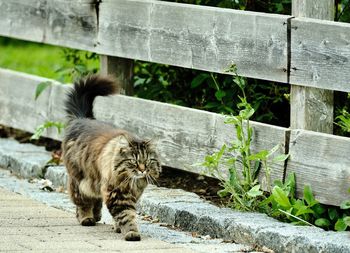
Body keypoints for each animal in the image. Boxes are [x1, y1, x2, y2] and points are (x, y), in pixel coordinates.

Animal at [61, 74, 161, 240]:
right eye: (134, 161)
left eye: (147, 161)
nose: (142, 170)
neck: (133, 183)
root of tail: (81, 119)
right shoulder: (117, 194)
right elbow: (127, 215)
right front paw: (131, 232)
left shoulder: (131, 194)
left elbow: (121, 216)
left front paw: (117, 227)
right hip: (80, 180)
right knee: (82, 201)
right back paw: (86, 218)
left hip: (94, 181)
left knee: (95, 198)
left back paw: (96, 215)